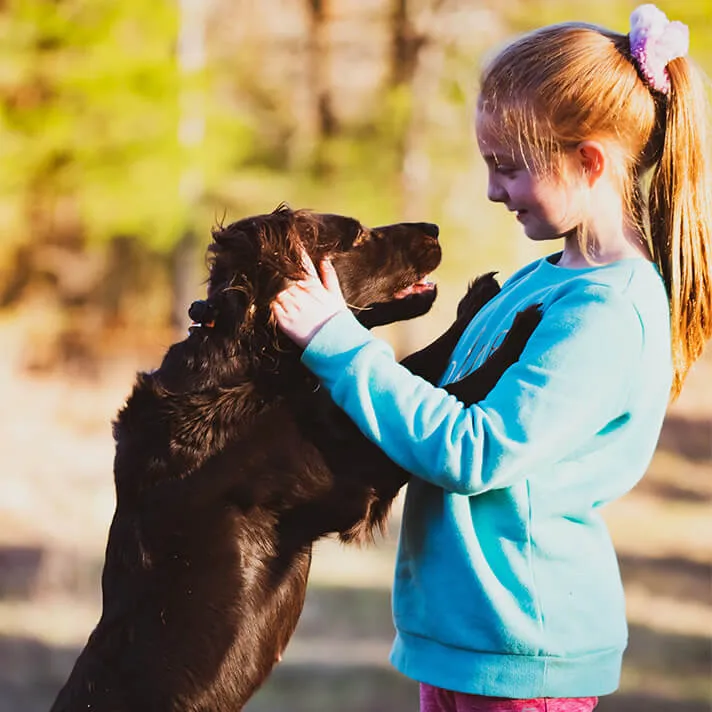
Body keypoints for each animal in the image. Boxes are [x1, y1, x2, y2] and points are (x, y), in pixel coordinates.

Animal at [48, 206, 540, 712]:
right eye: (357, 235)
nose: (434, 228)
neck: (248, 361)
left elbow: (416, 365)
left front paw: (477, 299)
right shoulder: (358, 463)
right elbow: (444, 383)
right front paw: (518, 333)